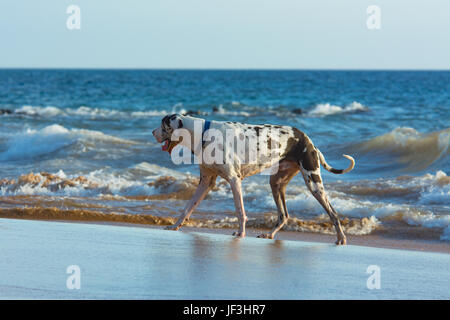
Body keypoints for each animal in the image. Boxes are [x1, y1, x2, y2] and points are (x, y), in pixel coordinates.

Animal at [153, 114, 356, 244]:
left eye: (163, 126)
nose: (152, 132)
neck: (204, 134)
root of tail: (309, 140)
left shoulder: (234, 180)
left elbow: (240, 211)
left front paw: (241, 233)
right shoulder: (205, 183)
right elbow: (187, 208)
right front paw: (174, 226)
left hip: (313, 182)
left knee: (334, 213)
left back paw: (341, 238)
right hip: (276, 184)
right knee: (284, 215)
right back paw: (269, 235)